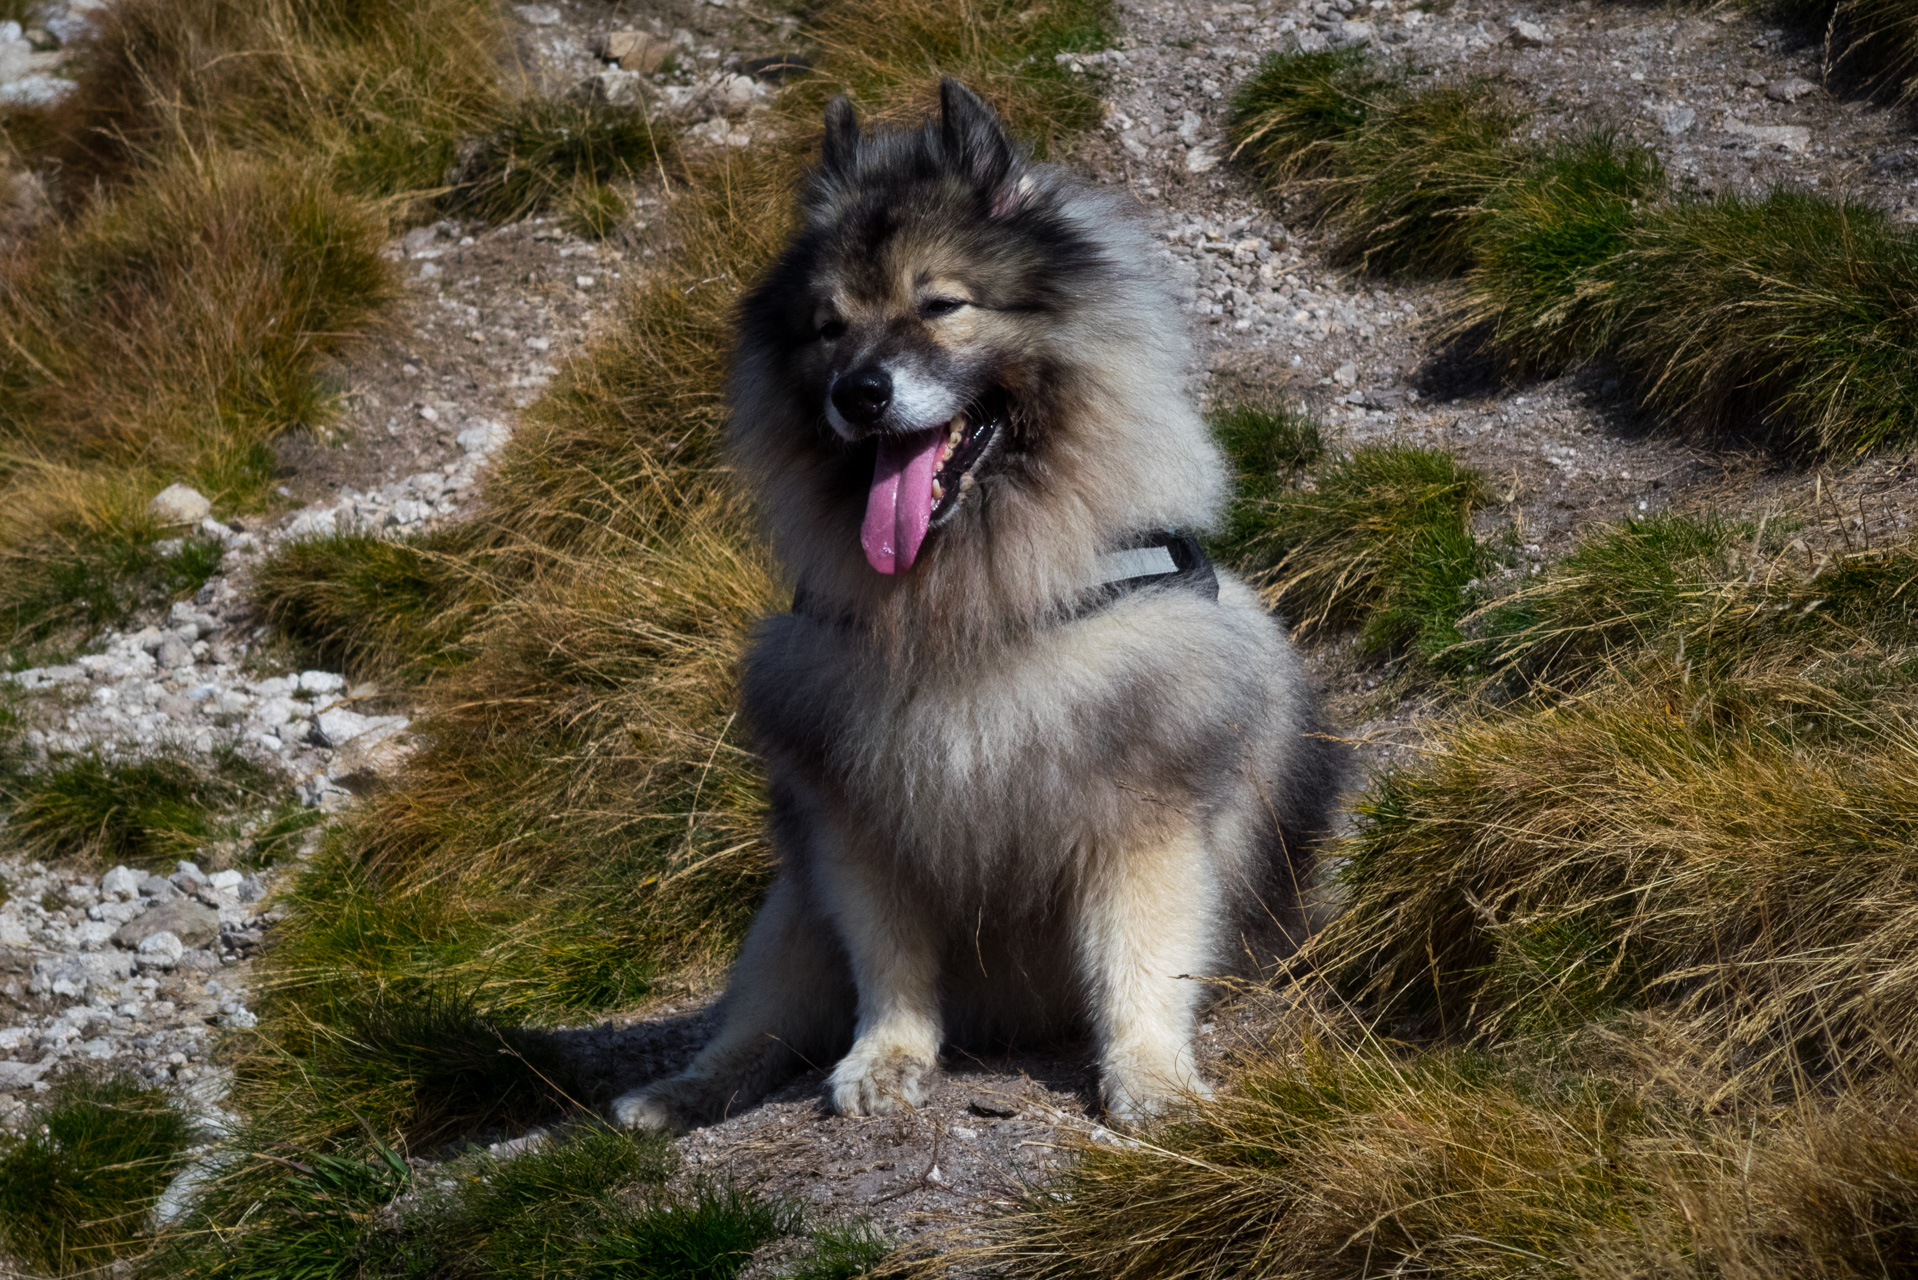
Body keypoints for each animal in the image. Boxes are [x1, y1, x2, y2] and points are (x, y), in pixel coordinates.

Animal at [617, 80, 1350, 1128]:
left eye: (941, 305)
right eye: (829, 327)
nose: (859, 392)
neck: (967, 602)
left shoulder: (1145, 818)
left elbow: (1141, 961)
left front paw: (1151, 1078)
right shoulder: (856, 828)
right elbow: (889, 965)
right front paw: (886, 1061)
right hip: (788, 910)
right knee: (760, 1023)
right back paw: (683, 1092)